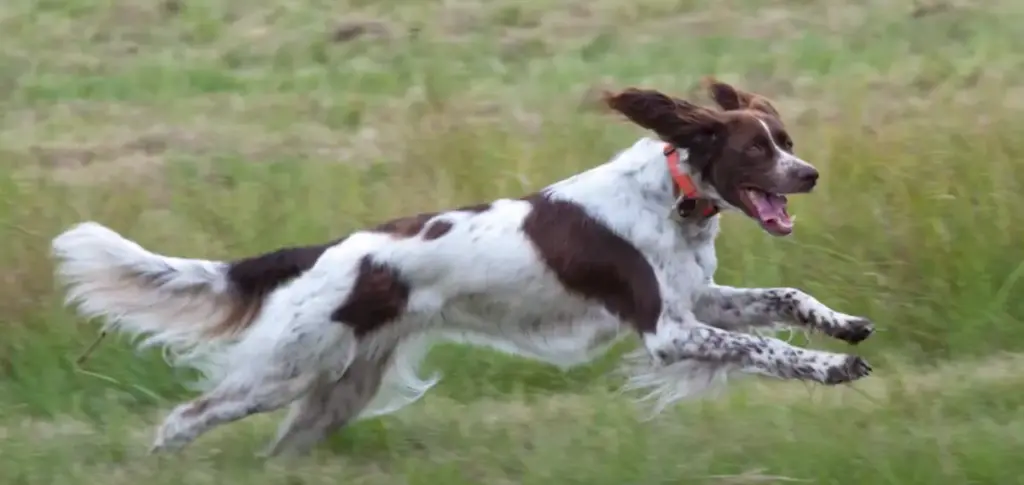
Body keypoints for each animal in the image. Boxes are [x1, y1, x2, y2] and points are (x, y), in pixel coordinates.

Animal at [51, 77, 876, 456]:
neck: (674, 198)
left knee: (280, 443)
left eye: (786, 138)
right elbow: (766, 347)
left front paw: (845, 326)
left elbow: (786, 297)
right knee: (186, 416)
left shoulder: (698, 301)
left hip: (340, 387)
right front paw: (832, 368)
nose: (809, 174)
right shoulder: (668, 330)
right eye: (755, 148)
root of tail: (326, 252)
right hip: (285, 367)